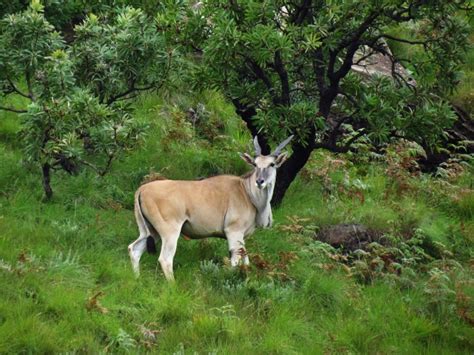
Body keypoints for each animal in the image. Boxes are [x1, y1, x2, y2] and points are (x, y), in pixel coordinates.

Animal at [128, 136, 294, 280]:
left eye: (272, 164)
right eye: (255, 164)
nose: (260, 181)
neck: (246, 192)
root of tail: (142, 189)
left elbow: (245, 262)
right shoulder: (234, 233)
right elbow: (236, 262)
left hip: (150, 231)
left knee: (134, 249)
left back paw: (137, 279)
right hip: (170, 232)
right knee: (165, 259)